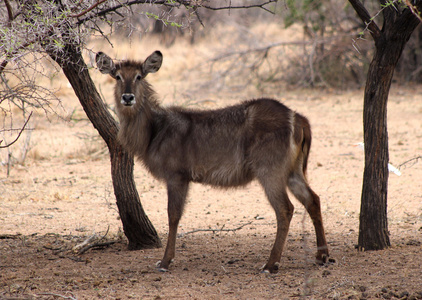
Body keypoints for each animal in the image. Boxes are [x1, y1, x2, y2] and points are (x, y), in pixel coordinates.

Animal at [95, 50, 330, 274]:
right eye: (117, 76)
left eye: (139, 76)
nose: (127, 97)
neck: (155, 130)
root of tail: (298, 118)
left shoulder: (177, 176)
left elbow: (173, 216)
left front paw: (165, 261)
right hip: (293, 171)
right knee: (313, 199)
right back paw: (322, 256)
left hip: (270, 171)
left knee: (285, 209)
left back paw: (270, 264)